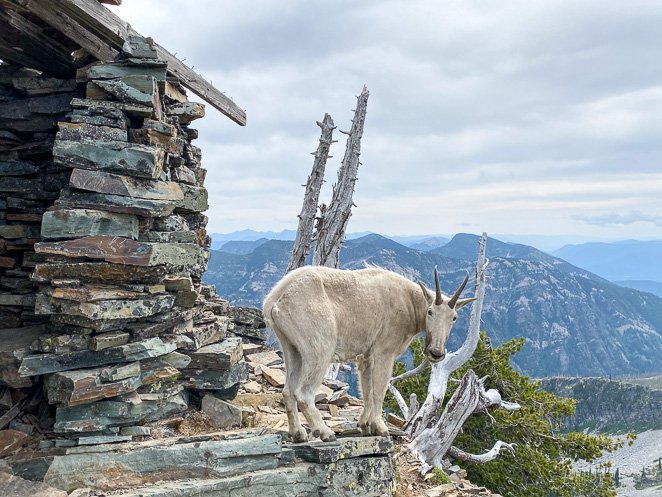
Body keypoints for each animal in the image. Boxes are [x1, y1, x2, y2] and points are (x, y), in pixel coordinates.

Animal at [262, 266, 474, 440]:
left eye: (454, 317)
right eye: (430, 312)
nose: (436, 353)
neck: (410, 302)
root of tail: (274, 300)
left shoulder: (366, 357)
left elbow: (367, 389)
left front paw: (365, 425)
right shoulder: (384, 352)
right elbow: (378, 390)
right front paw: (380, 428)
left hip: (291, 348)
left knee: (287, 390)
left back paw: (298, 434)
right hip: (319, 349)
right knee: (303, 392)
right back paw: (325, 433)